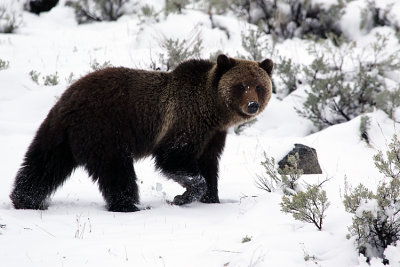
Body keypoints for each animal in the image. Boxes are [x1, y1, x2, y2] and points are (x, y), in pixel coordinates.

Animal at [9, 55, 274, 214]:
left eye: (259, 86)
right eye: (241, 85)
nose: (252, 105)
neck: (213, 111)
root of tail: (67, 98)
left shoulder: (213, 136)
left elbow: (209, 164)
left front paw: (211, 197)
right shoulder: (185, 120)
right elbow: (173, 158)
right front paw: (183, 196)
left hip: (62, 136)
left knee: (43, 164)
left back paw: (25, 199)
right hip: (105, 128)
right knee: (117, 171)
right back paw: (129, 205)